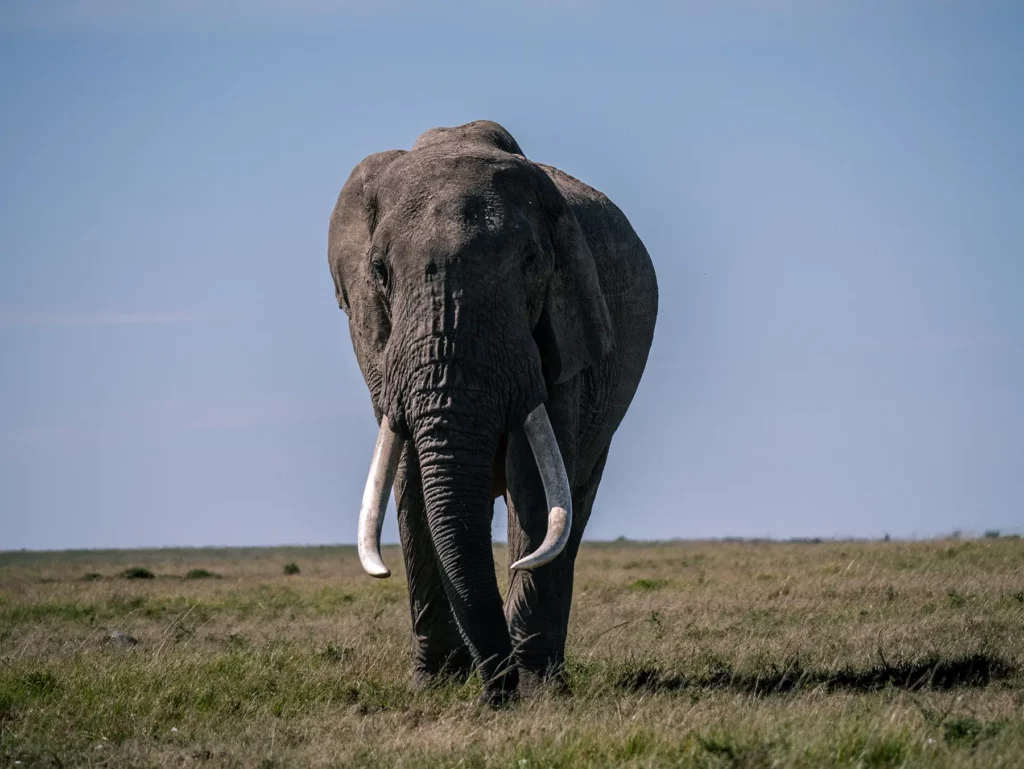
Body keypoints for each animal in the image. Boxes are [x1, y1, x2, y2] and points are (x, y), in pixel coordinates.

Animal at [327, 120, 658, 705]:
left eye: (531, 263)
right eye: (379, 270)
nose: (494, 694)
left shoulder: (561, 338)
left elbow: (534, 485)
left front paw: (536, 690)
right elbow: (411, 480)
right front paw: (433, 686)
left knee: (574, 501)